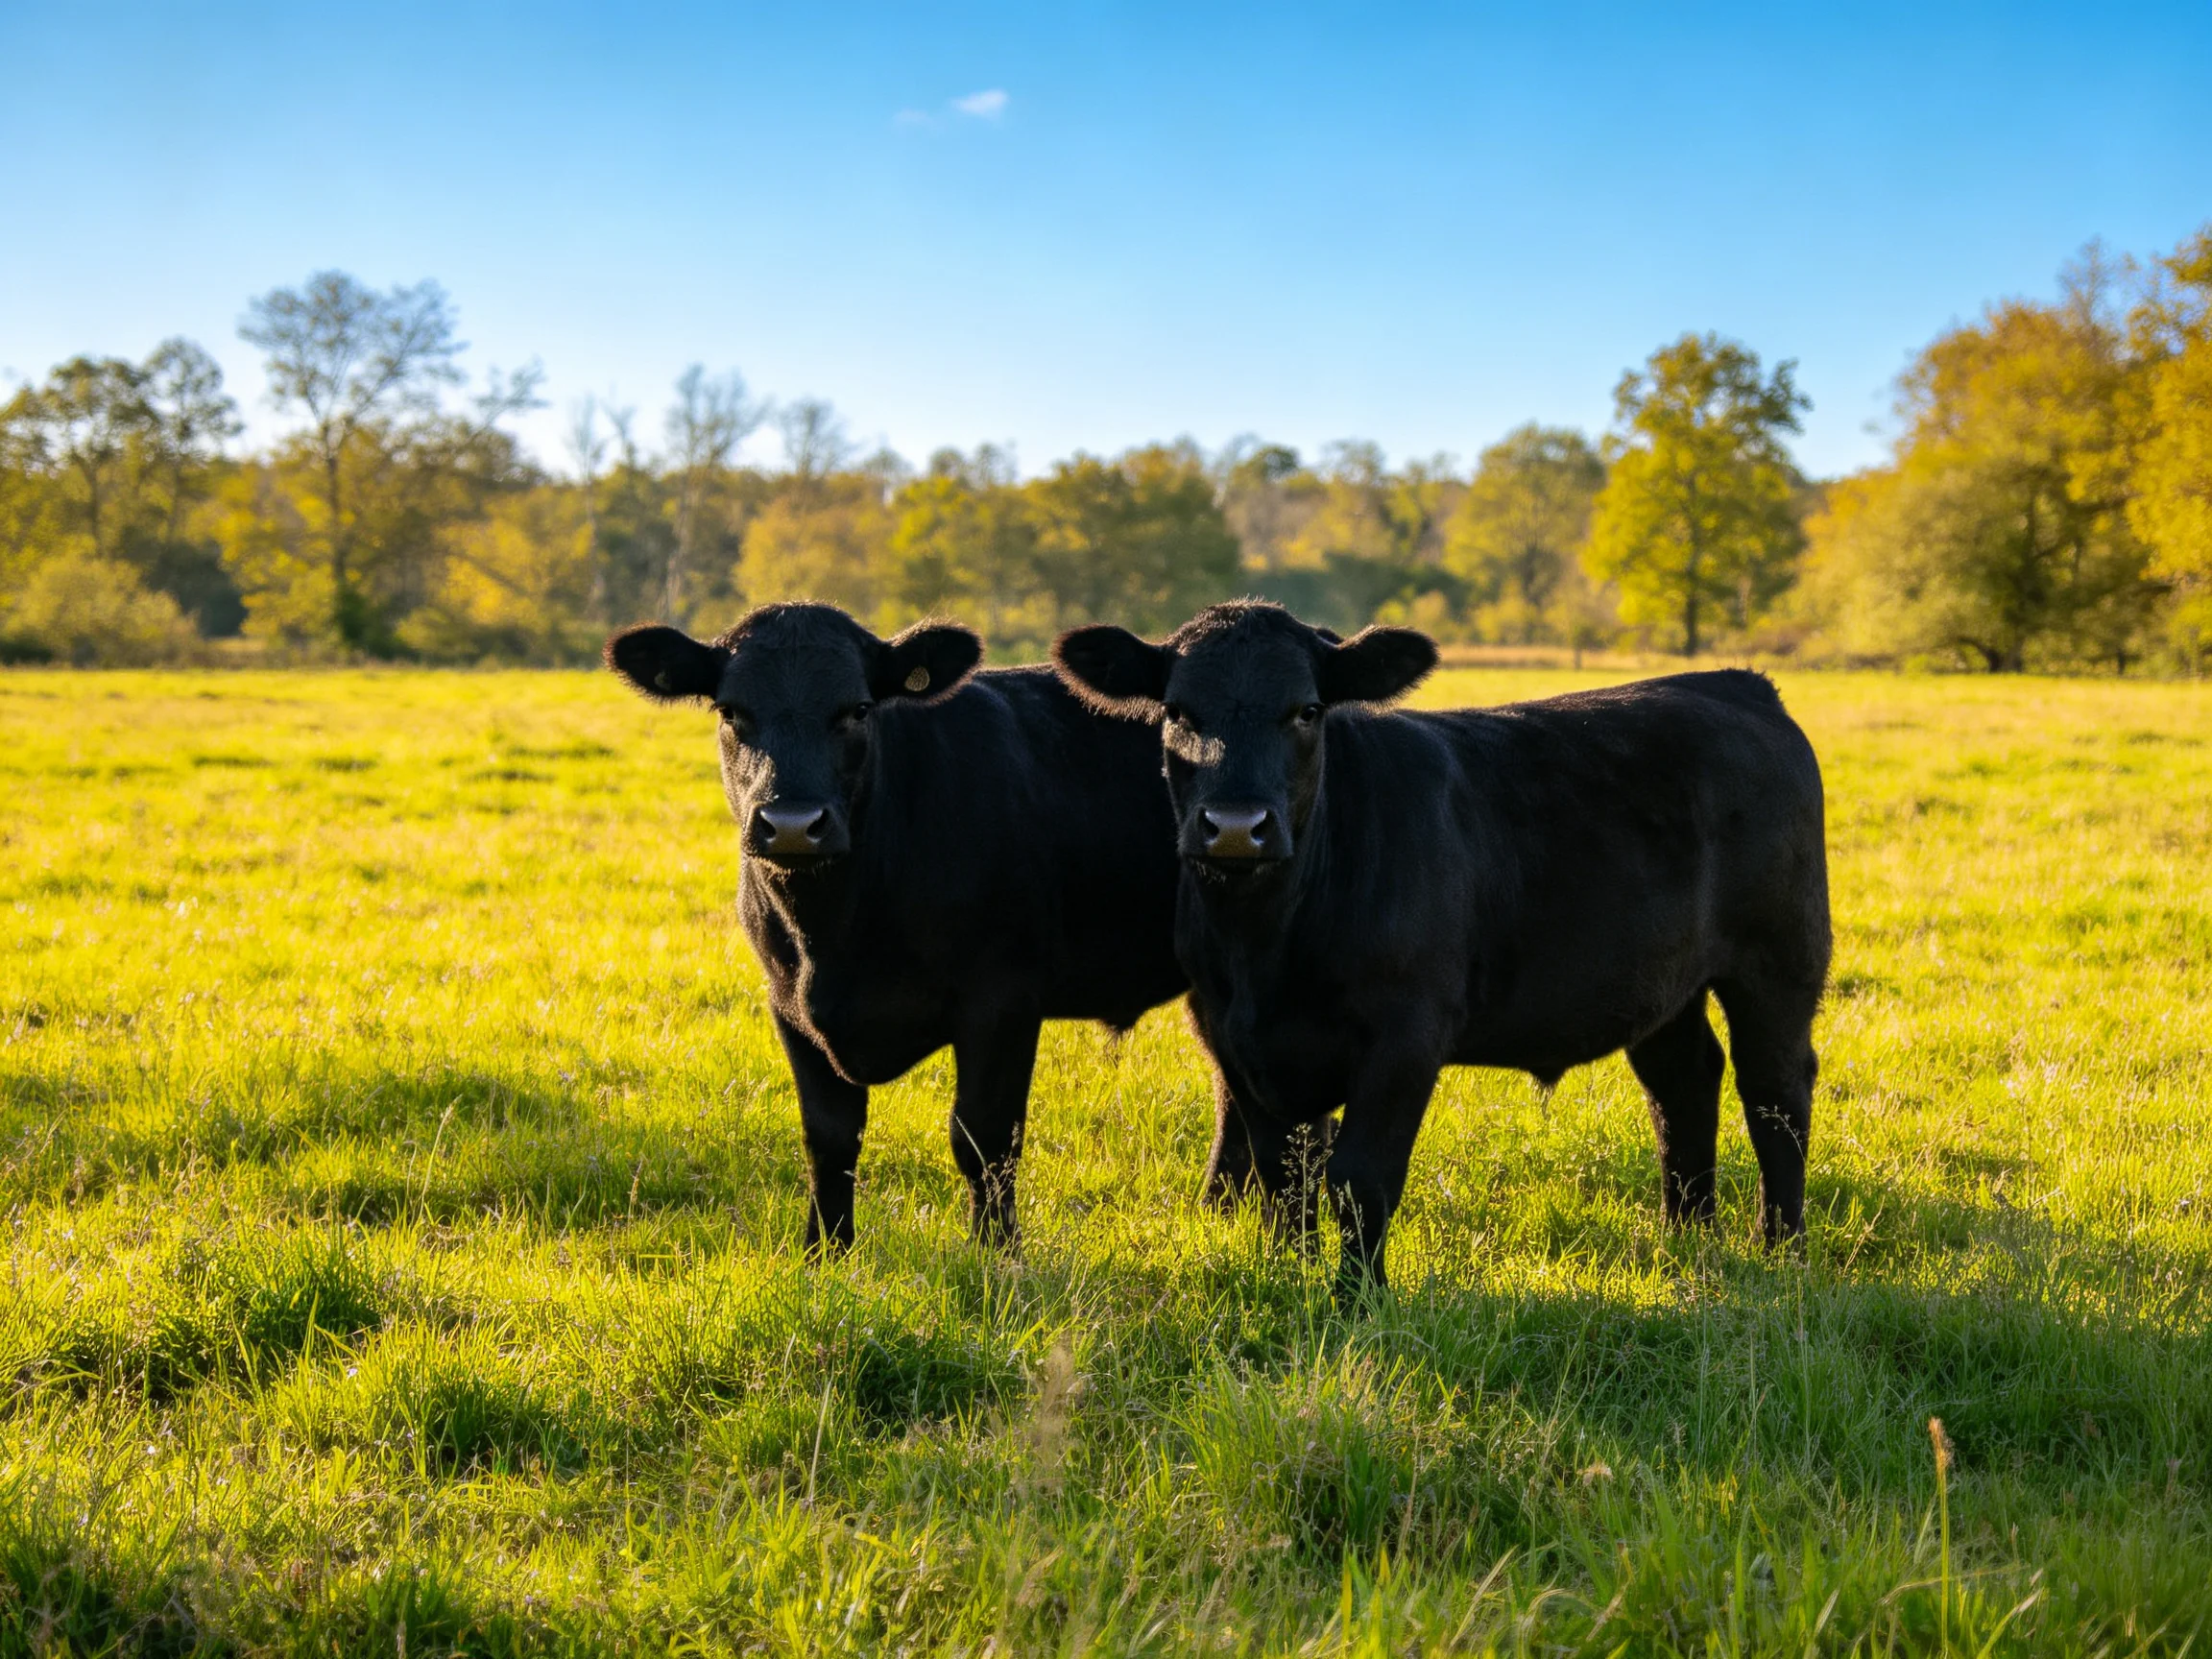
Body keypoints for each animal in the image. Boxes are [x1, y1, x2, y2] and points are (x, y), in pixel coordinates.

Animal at [606, 603, 1194, 1254]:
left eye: (858, 709)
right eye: (731, 711)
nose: (792, 824)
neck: (834, 939)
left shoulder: (1003, 998)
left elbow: (984, 1137)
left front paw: (997, 1254)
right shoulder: (788, 1006)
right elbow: (829, 1139)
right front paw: (826, 1252)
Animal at [1052, 600, 1831, 1297]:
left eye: (1307, 710)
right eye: (1177, 712)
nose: (1238, 827)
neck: (1265, 949)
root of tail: (1735, 683)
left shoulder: (1406, 1034)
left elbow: (1357, 1178)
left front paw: (1357, 1300)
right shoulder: (1233, 1036)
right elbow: (1283, 1176)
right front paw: (1290, 1279)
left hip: (1779, 960)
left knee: (1775, 1093)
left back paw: (1781, 1251)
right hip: (1666, 982)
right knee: (1684, 1081)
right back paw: (1687, 1237)